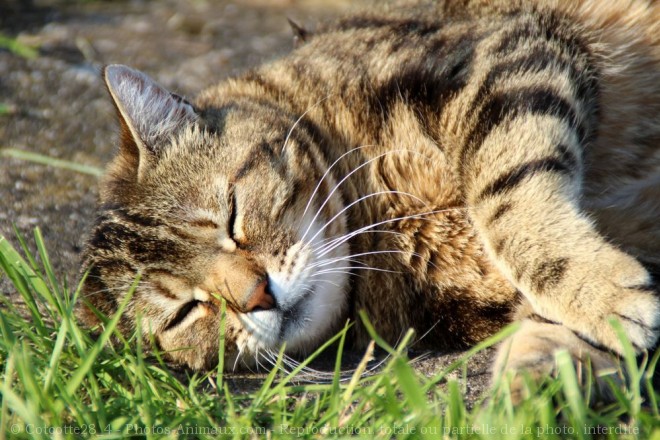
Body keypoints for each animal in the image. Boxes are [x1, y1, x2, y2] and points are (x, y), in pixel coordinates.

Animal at [78, 0, 660, 398]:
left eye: (232, 215)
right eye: (186, 312)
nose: (257, 296)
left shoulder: (503, 54)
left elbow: (505, 193)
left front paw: (596, 291)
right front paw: (535, 387)